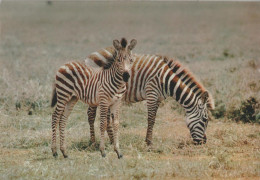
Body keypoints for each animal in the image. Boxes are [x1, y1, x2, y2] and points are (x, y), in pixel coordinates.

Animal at [86, 52, 215, 147]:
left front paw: (148, 141)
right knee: (91, 115)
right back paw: (93, 142)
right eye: (205, 120)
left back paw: (112, 141)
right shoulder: (151, 93)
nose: (203, 142)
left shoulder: (158, 98)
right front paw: (149, 142)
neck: (167, 80)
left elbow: (154, 119)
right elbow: (151, 119)